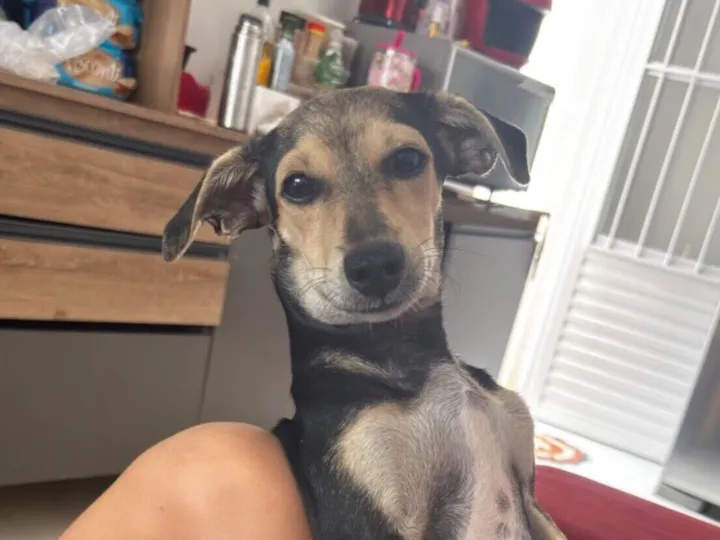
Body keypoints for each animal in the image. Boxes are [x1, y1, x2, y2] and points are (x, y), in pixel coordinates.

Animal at [162, 88, 565, 540]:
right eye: (297, 186)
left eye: (407, 159)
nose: (374, 266)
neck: (405, 353)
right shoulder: (367, 515)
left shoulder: (531, 500)